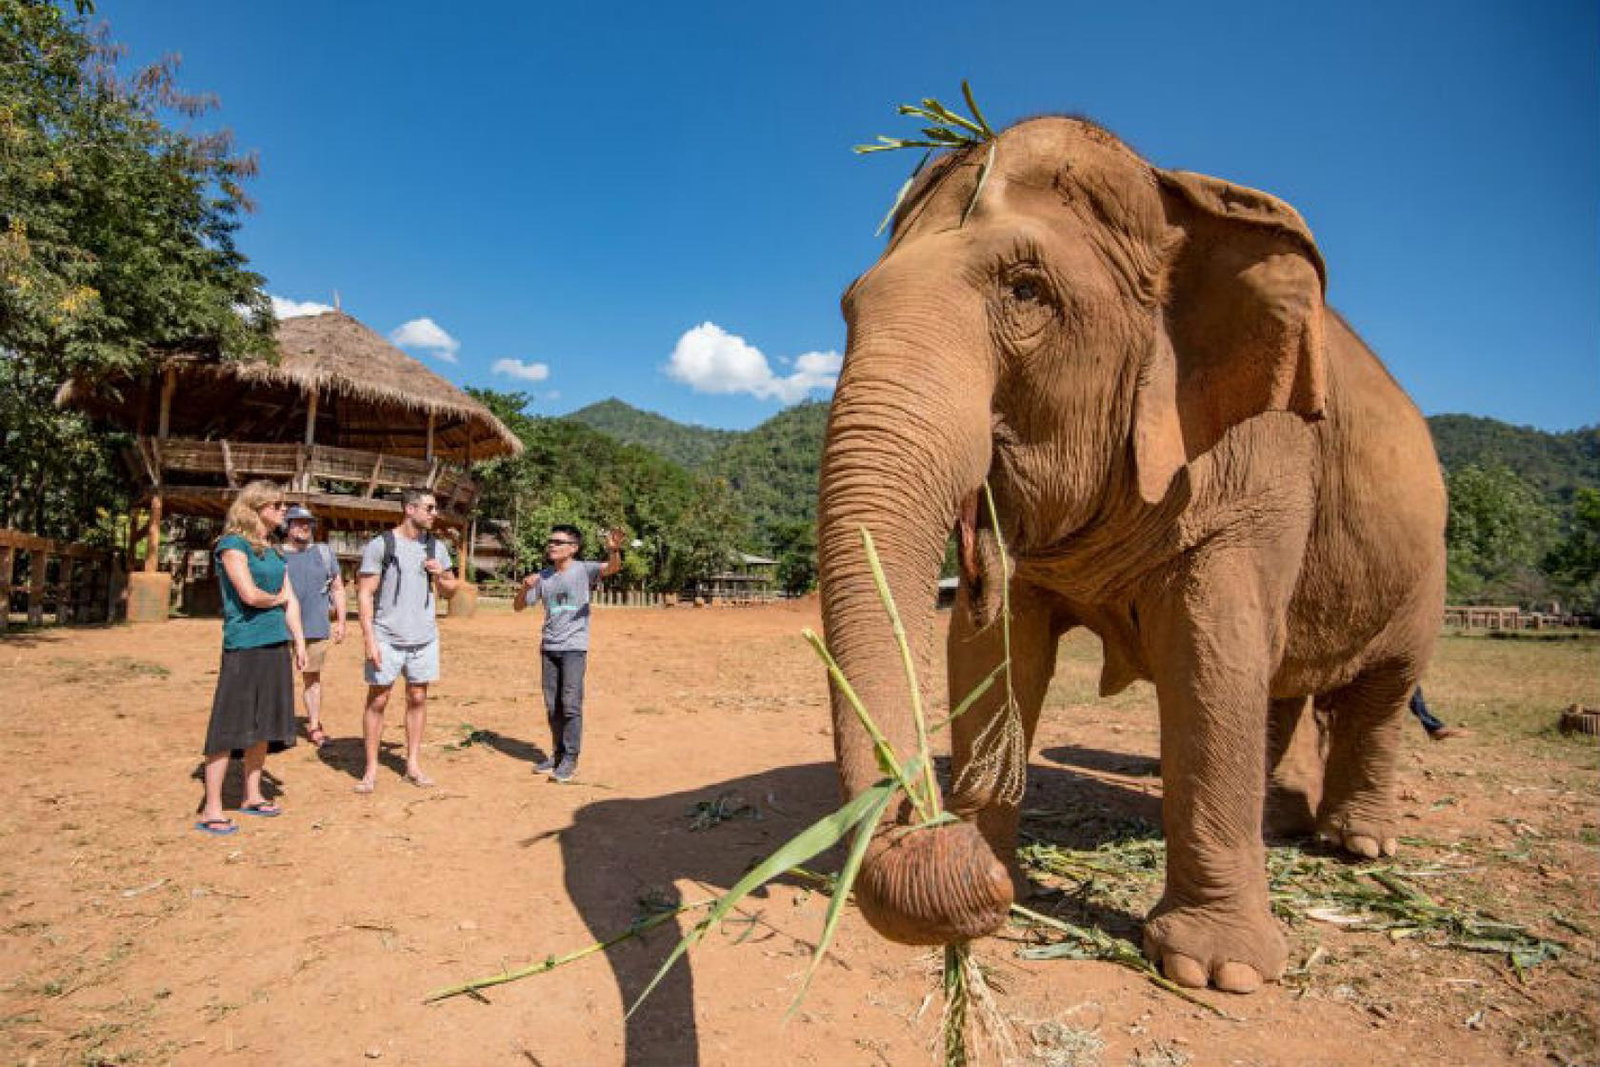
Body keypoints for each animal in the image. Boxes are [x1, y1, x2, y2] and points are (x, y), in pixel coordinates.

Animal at [817, 116, 1445, 994]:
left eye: (1027, 290)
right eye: (849, 306)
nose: (933, 828)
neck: (1172, 193)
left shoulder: (1262, 459)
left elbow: (1213, 650)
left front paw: (1218, 972)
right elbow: (991, 649)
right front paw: (999, 874)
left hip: (1426, 570)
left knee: (1379, 692)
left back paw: (1357, 844)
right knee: (1282, 683)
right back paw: (1281, 820)